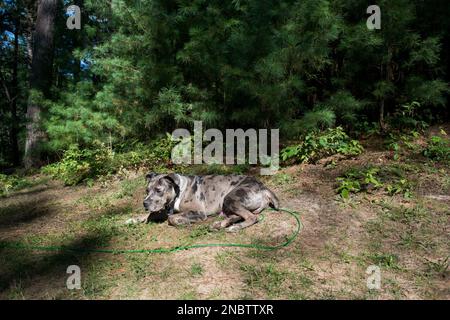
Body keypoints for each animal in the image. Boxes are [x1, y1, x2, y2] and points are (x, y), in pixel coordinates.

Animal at [126, 174, 280, 231]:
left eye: (159, 190)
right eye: (147, 190)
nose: (145, 203)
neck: (178, 191)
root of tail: (263, 188)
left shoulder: (198, 212)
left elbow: (172, 218)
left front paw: (182, 222)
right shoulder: (165, 209)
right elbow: (151, 215)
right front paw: (134, 219)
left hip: (230, 198)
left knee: (251, 217)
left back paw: (235, 227)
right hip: (229, 204)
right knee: (238, 215)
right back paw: (221, 224)